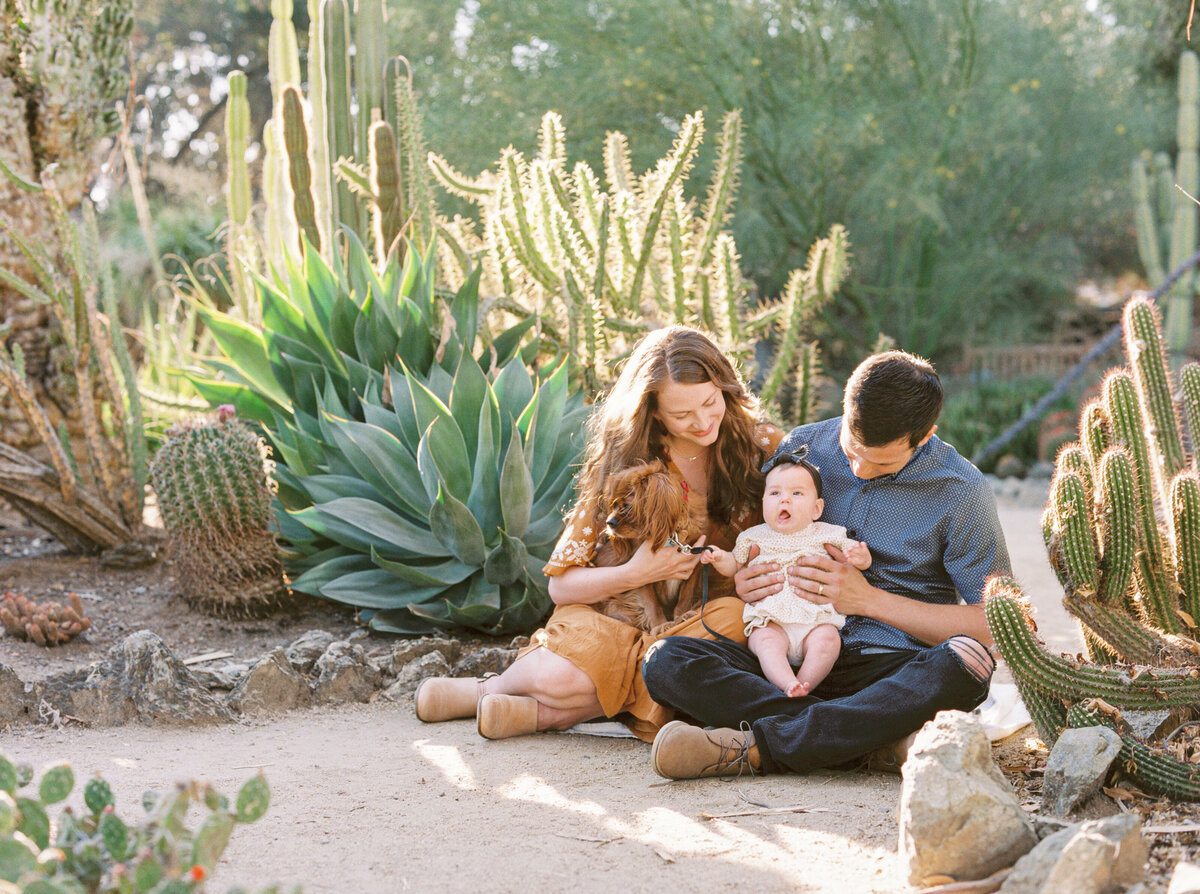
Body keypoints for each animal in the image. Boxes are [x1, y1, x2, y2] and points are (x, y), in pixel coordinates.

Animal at [590, 460, 700, 633]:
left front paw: (682, 615)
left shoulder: (694, 566)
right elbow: (652, 604)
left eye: (626, 507)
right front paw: (660, 625)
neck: (671, 537)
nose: (609, 522)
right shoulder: (641, 576)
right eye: (613, 506)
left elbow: (685, 597)